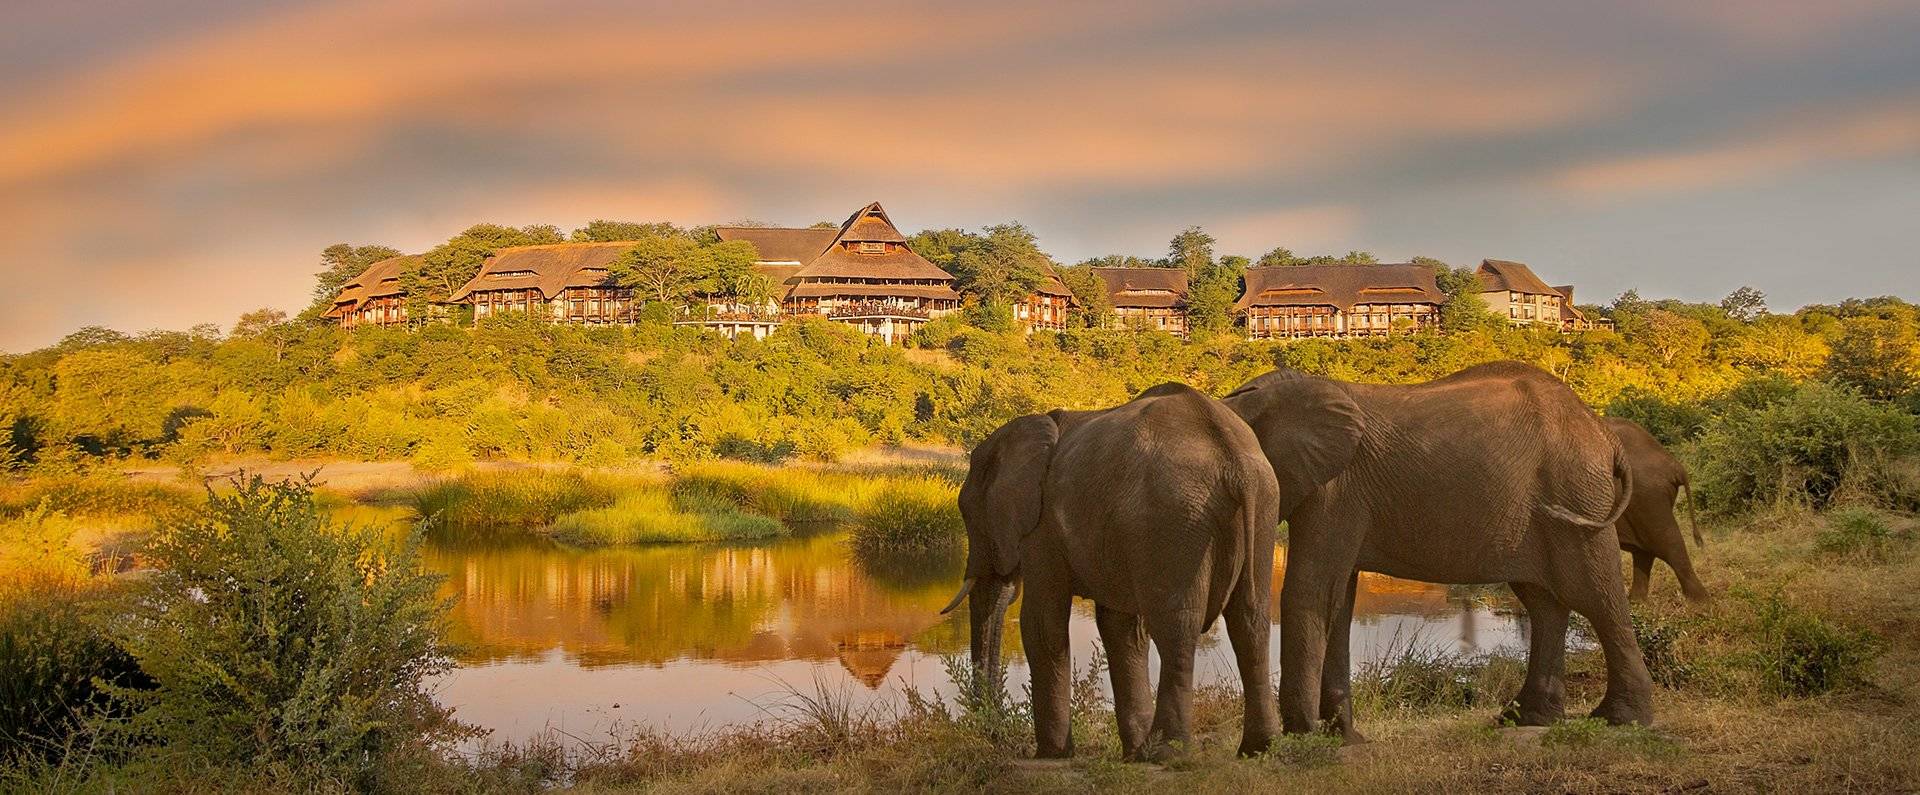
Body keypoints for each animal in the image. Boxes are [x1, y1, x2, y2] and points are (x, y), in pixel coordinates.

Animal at [940, 382, 1282, 760]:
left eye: (967, 512)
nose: (993, 731)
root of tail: (1234, 462)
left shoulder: (1042, 530)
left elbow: (1042, 624)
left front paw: (1052, 754)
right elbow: (1121, 628)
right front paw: (1133, 754)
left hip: (1175, 516)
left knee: (1176, 627)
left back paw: (1167, 753)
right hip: (1262, 507)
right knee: (1250, 622)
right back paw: (1258, 748)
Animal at [1221, 361, 1658, 737]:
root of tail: (1603, 433)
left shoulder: (1335, 490)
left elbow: (1309, 592)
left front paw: (1305, 736)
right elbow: (1338, 598)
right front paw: (1344, 738)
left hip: (1576, 494)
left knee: (1596, 595)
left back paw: (1622, 719)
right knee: (1545, 604)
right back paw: (1527, 719)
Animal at [1605, 416, 1712, 602]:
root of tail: (1675, 465)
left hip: (1648, 497)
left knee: (1668, 544)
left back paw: (1702, 605)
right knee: (1644, 551)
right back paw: (1636, 602)